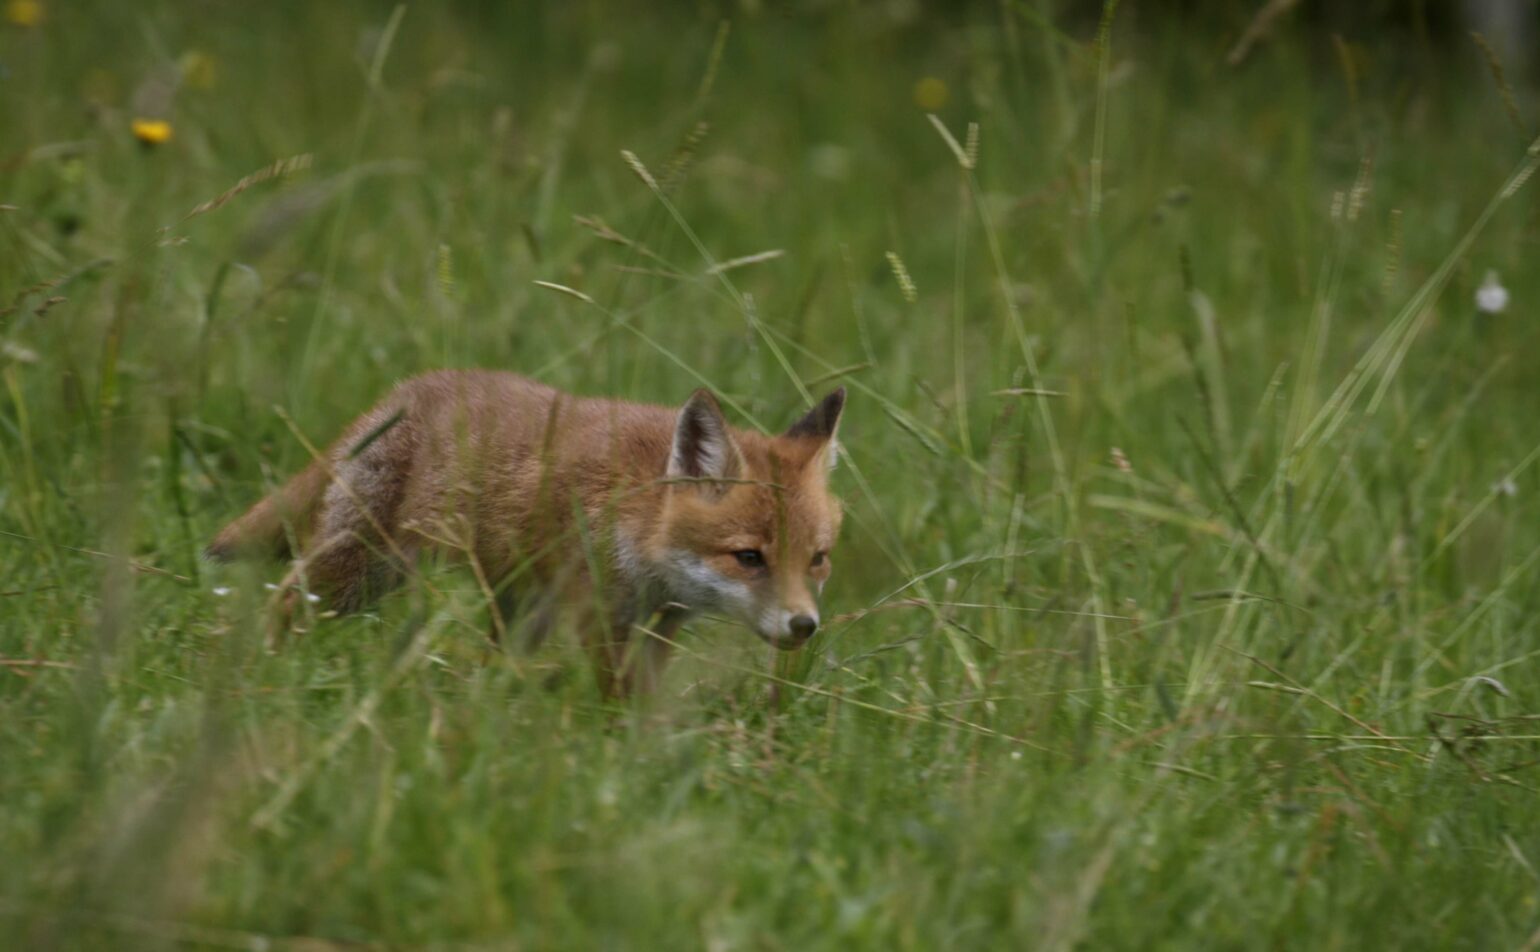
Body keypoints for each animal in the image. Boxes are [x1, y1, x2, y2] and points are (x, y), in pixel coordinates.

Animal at [206, 372, 850, 696]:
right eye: (749, 557)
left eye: (817, 559)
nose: (804, 626)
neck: (636, 522)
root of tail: (406, 389)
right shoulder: (598, 616)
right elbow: (616, 701)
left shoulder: (658, 624)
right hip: (356, 572)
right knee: (283, 602)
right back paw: (260, 677)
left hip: (518, 609)